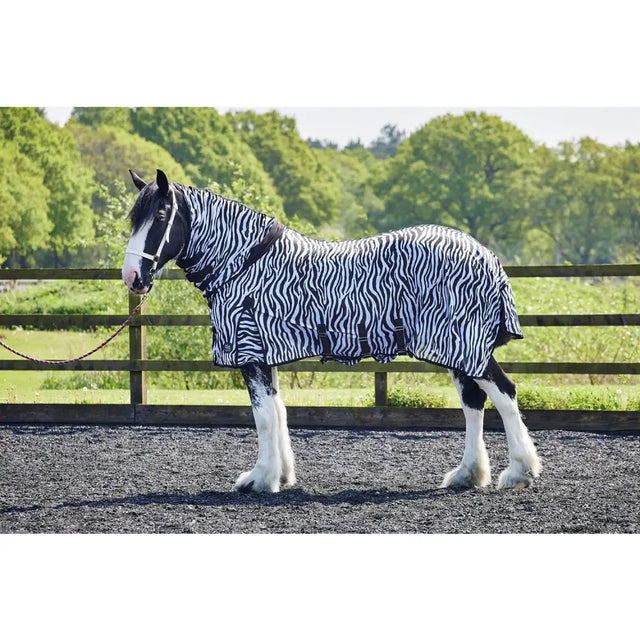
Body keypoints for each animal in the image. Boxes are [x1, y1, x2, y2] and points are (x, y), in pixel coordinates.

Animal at [122, 169, 541, 493]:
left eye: (161, 214)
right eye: (133, 219)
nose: (132, 277)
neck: (245, 261)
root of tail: (487, 255)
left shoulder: (251, 355)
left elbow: (263, 417)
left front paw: (260, 479)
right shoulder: (266, 355)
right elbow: (278, 411)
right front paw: (281, 475)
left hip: (466, 347)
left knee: (504, 394)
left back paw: (519, 471)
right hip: (459, 351)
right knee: (474, 402)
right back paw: (468, 474)